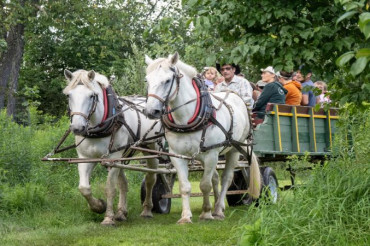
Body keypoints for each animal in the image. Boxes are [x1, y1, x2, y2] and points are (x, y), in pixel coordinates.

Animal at [63, 68, 162, 225]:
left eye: (92, 96)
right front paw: (99, 206)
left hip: (152, 149)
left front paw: (108, 218)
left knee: (150, 179)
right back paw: (121, 212)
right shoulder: (85, 158)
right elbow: (84, 188)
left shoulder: (113, 158)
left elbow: (110, 188)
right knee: (124, 183)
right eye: (68, 95)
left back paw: (147, 210)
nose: (78, 128)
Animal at [143, 52, 262, 224]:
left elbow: (205, 185)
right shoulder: (177, 155)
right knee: (215, 178)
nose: (151, 111)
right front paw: (186, 216)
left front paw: (206, 213)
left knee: (226, 178)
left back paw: (218, 209)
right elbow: (185, 186)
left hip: (233, 149)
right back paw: (218, 205)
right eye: (147, 80)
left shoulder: (211, 154)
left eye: (167, 80)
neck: (185, 119)